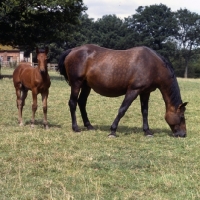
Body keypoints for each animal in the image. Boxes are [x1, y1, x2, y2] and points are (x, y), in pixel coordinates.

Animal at [57, 43, 188, 138]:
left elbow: (145, 112)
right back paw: (76, 128)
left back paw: (89, 126)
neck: (153, 65)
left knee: (82, 102)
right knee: (73, 103)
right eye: (182, 116)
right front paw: (112, 131)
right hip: (76, 83)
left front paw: (147, 131)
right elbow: (122, 110)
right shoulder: (133, 90)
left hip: (86, 86)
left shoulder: (145, 92)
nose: (183, 134)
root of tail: (73, 50)